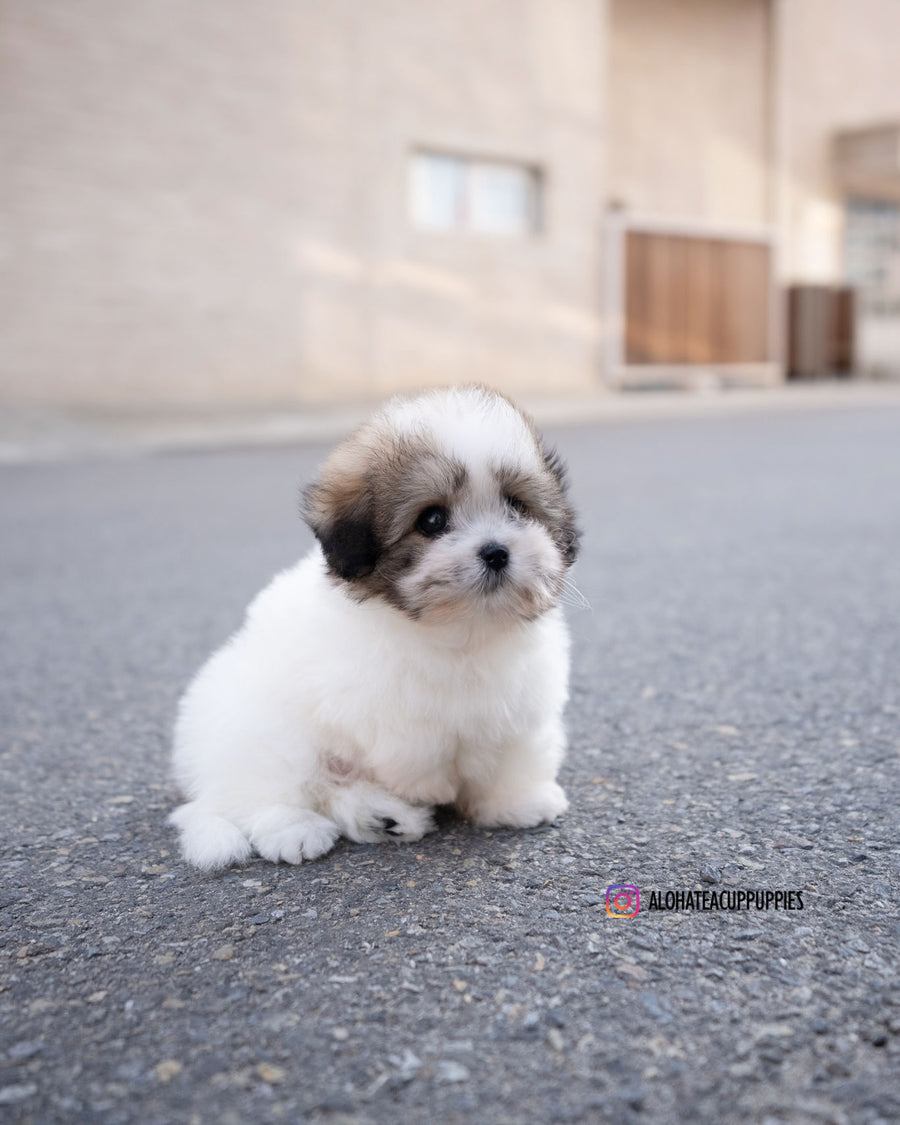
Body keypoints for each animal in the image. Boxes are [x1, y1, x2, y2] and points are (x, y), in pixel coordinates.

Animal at [168, 387, 580, 868]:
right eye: (432, 520)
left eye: (517, 506)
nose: (496, 551)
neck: (463, 629)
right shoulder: (387, 712)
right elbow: (419, 753)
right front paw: (435, 788)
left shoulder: (520, 706)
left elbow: (514, 755)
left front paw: (516, 801)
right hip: (264, 733)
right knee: (271, 791)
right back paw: (297, 829)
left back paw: (385, 817)